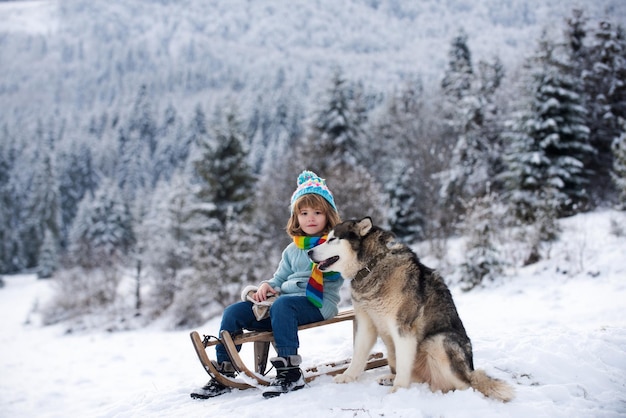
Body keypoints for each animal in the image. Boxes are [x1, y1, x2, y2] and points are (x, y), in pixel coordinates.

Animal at [310, 217, 516, 400]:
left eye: (332, 239)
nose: (309, 252)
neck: (372, 265)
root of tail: (470, 371)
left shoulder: (403, 329)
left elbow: (403, 365)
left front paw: (398, 390)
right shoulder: (366, 323)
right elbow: (358, 355)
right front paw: (348, 376)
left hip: (438, 341)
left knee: (466, 385)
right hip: (394, 352)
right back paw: (390, 378)